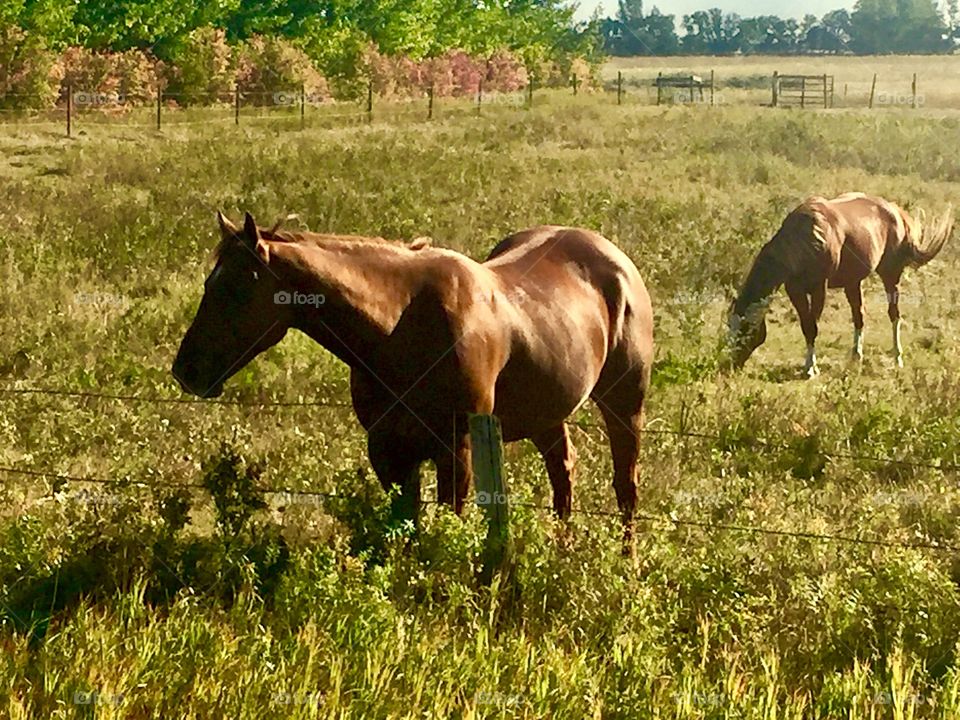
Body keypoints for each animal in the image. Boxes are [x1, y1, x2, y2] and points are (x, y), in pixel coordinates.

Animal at [172, 212, 654, 551]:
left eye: (235, 290)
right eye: (210, 283)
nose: (186, 370)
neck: (401, 326)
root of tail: (614, 259)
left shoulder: (456, 449)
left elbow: (448, 522)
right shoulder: (389, 451)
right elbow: (405, 527)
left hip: (624, 405)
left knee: (626, 487)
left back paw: (626, 563)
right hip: (545, 413)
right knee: (563, 476)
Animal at [728, 193, 952, 377]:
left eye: (745, 332)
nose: (730, 363)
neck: (808, 237)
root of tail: (895, 210)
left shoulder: (819, 288)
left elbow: (812, 327)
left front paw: (811, 368)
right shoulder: (795, 291)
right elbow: (806, 326)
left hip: (890, 276)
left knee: (894, 315)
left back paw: (897, 358)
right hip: (853, 283)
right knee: (859, 316)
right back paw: (856, 356)